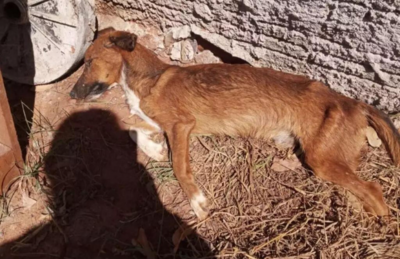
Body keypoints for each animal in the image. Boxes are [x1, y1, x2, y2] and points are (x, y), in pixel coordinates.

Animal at [70, 27, 400, 219]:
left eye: (89, 62)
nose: (72, 94)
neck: (146, 79)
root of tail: (354, 102)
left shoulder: (182, 125)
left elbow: (179, 167)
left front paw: (197, 201)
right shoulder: (160, 122)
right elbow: (132, 129)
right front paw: (155, 150)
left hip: (321, 159)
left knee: (374, 192)